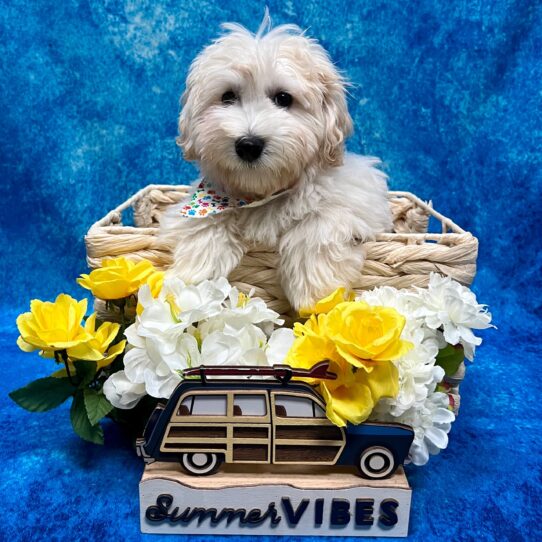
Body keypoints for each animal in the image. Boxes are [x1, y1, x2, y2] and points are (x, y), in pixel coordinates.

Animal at [159, 14, 394, 312]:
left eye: (284, 98)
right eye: (227, 97)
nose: (248, 145)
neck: (263, 193)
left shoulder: (362, 200)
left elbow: (321, 217)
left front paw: (315, 291)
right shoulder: (197, 202)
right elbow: (205, 219)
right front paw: (193, 272)